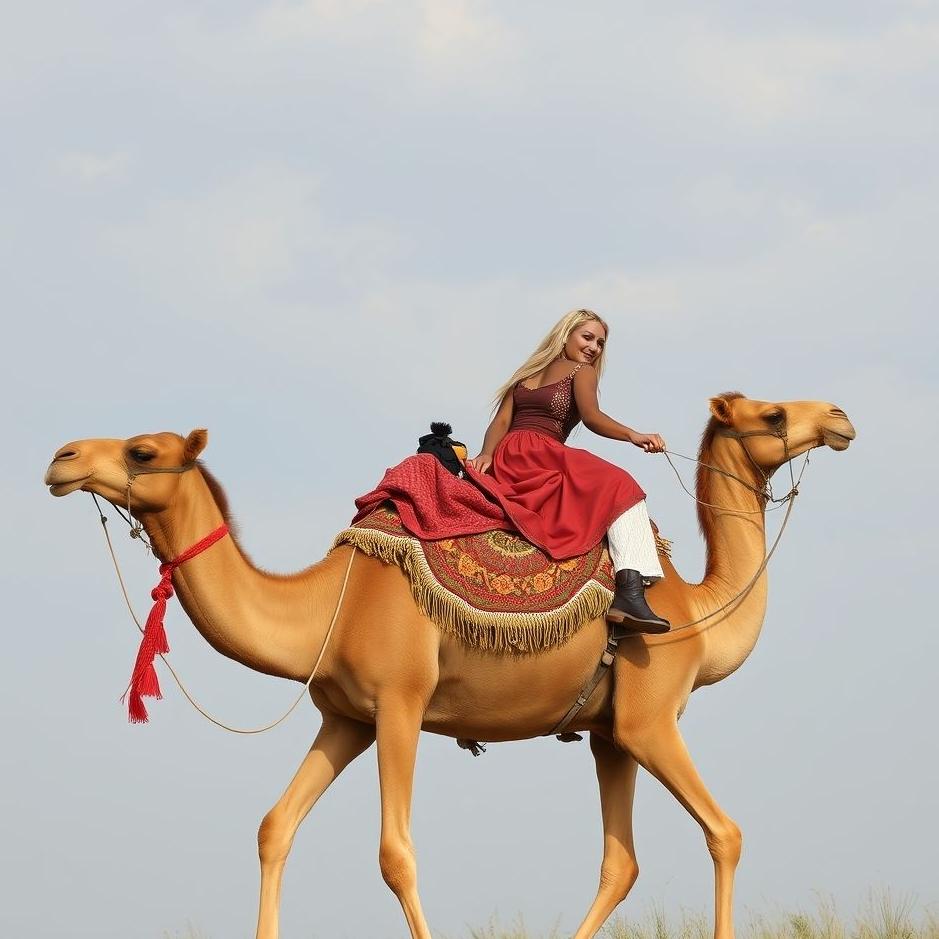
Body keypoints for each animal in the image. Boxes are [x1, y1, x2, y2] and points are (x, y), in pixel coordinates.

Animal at [44, 392, 855, 939]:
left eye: (143, 452)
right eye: (775, 414)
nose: (62, 458)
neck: (328, 605)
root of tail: (685, 606)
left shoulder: (401, 702)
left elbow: (395, 853)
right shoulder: (347, 718)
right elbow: (275, 827)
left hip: (649, 715)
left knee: (722, 831)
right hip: (614, 731)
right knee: (623, 860)